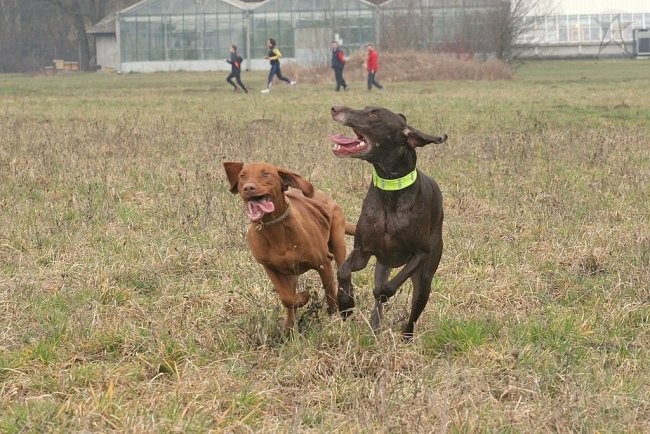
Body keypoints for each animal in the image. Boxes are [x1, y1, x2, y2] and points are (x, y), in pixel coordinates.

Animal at [224, 162, 354, 328]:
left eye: (266, 174)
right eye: (242, 176)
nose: (248, 187)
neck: (275, 229)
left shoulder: (323, 263)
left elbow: (330, 292)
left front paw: (334, 316)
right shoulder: (271, 269)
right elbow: (287, 298)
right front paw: (303, 298)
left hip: (338, 241)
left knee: (342, 272)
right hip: (291, 273)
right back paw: (290, 326)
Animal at [330, 106, 446, 340]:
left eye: (374, 114)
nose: (335, 108)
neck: (391, 191)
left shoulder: (421, 254)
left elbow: (389, 288)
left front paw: (380, 294)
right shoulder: (362, 252)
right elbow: (343, 271)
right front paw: (346, 304)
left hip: (425, 280)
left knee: (414, 309)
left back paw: (406, 336)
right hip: (381, 266)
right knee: (378, 302)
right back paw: (374, 328)